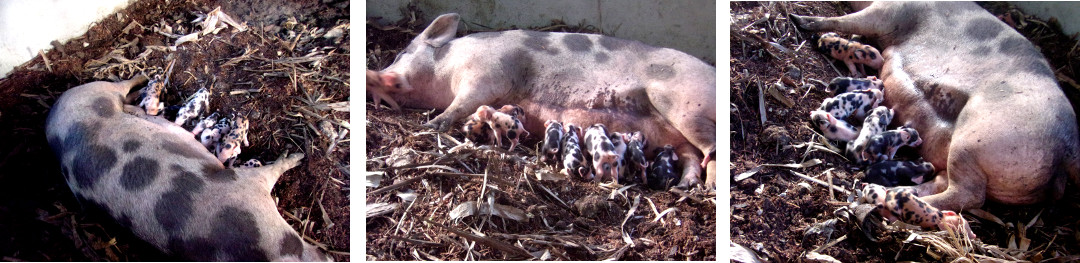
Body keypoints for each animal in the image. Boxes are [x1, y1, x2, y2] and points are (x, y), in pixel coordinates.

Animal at [43, 75, 328, 260]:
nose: (328, 255)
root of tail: (51, 116)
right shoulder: (247, 184)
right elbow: (273, 170)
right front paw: (297, 155)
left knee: (130, 97)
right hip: (96, 91)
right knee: (121, 85)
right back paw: (144, 76)